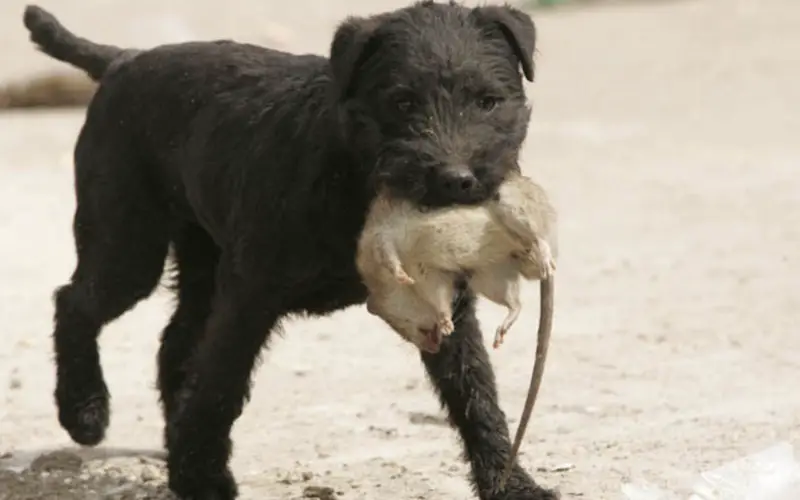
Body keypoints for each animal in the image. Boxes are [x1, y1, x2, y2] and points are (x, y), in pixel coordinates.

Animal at [21, 1, 552, 498]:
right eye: (402, 102)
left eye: (488, 101)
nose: (456, 179)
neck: (350, 171)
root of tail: (121, 61)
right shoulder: (249, 296)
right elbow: (221, 382)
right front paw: (201, 478)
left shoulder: (445, 307)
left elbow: (474, 390)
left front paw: (512, 483)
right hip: (128, 244)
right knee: (75, 303)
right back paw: (84, 410)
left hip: (199, 259)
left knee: (176, 343)